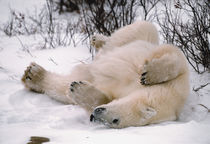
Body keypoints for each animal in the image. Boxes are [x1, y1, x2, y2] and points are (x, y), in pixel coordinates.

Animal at [22, 20, 189, 127]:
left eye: (115, 121)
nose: (94, 117)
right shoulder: (178, 81)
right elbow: (177, 56)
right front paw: (148, 74)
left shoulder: (117, 93)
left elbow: (103, 96)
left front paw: (79, 90)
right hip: (138, 40)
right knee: (143, 28)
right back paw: (99, 40)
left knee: (62, 86)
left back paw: (34, 75)